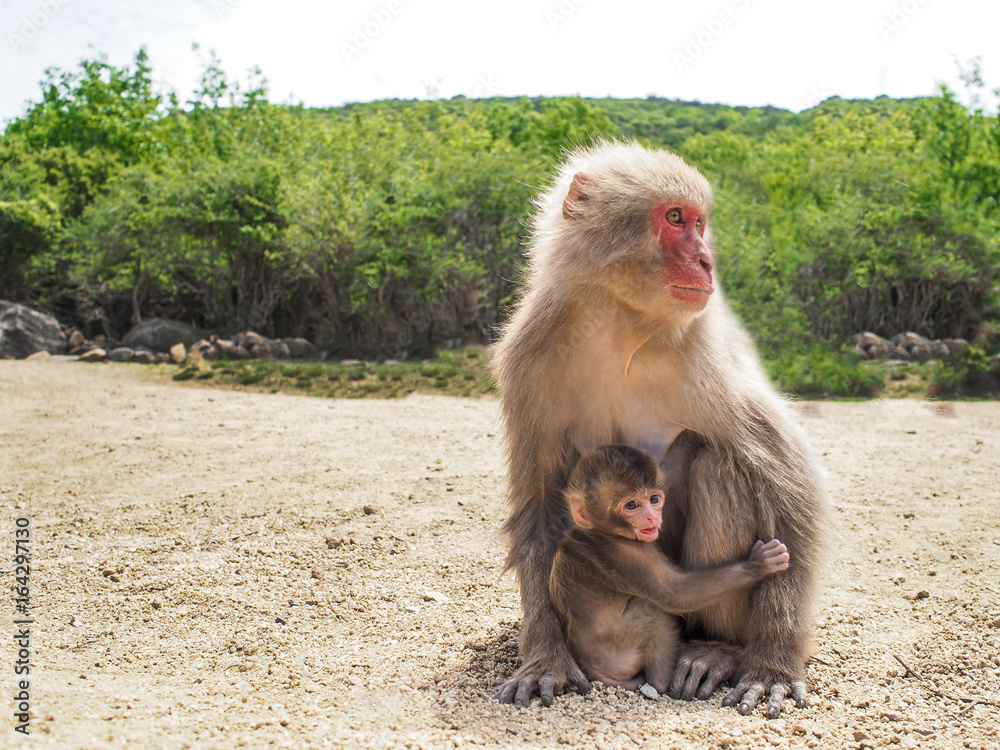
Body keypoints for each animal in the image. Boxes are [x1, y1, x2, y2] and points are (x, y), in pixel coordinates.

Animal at [549, 445, 791, 696]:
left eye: (654, 499)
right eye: (632, 505)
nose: (652, 517)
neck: (597, 532)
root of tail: (593, 670)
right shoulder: (628, 552)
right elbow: (675, 593)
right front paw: (759, 563)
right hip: (622, 653)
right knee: (651, 612)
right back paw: (668, 676)